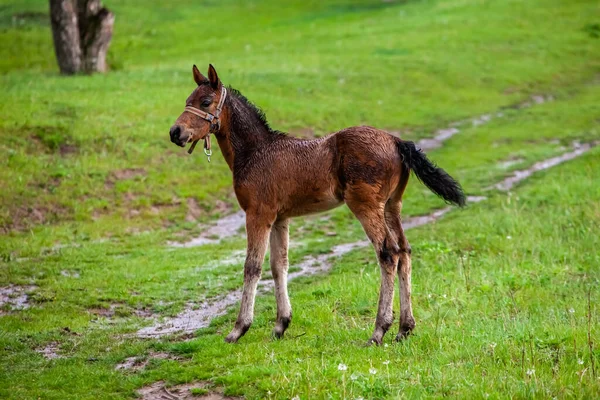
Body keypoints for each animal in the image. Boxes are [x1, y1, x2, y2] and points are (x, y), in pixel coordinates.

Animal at [169, 65, 464, 344]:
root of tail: (396, 141)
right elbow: (279, 265)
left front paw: (238, 329)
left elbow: (252, 266)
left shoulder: (258, 213)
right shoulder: (281, 217)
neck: (255, 153)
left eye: (206, 102)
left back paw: (379, 330)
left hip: (365, 205)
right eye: (188, 100)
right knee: (404, 250)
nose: (175, 132)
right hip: (393, 205)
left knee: (388, 253)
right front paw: (281, 325)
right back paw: (404, 328)